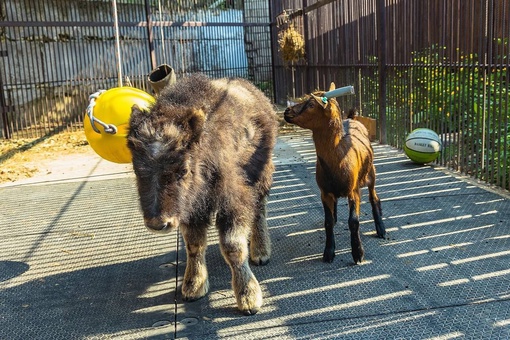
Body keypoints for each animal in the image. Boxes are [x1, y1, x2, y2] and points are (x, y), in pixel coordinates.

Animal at [127, 74, 278, 316]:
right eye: (136, 169)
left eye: (183, 170)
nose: (158, 224)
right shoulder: (192, 209)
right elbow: (194, 244)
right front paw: (193, 286)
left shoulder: (232, 200)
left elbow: (233, 246)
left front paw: (248, 298)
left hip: (262, 175)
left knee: (259, 211)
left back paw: (260, 252)